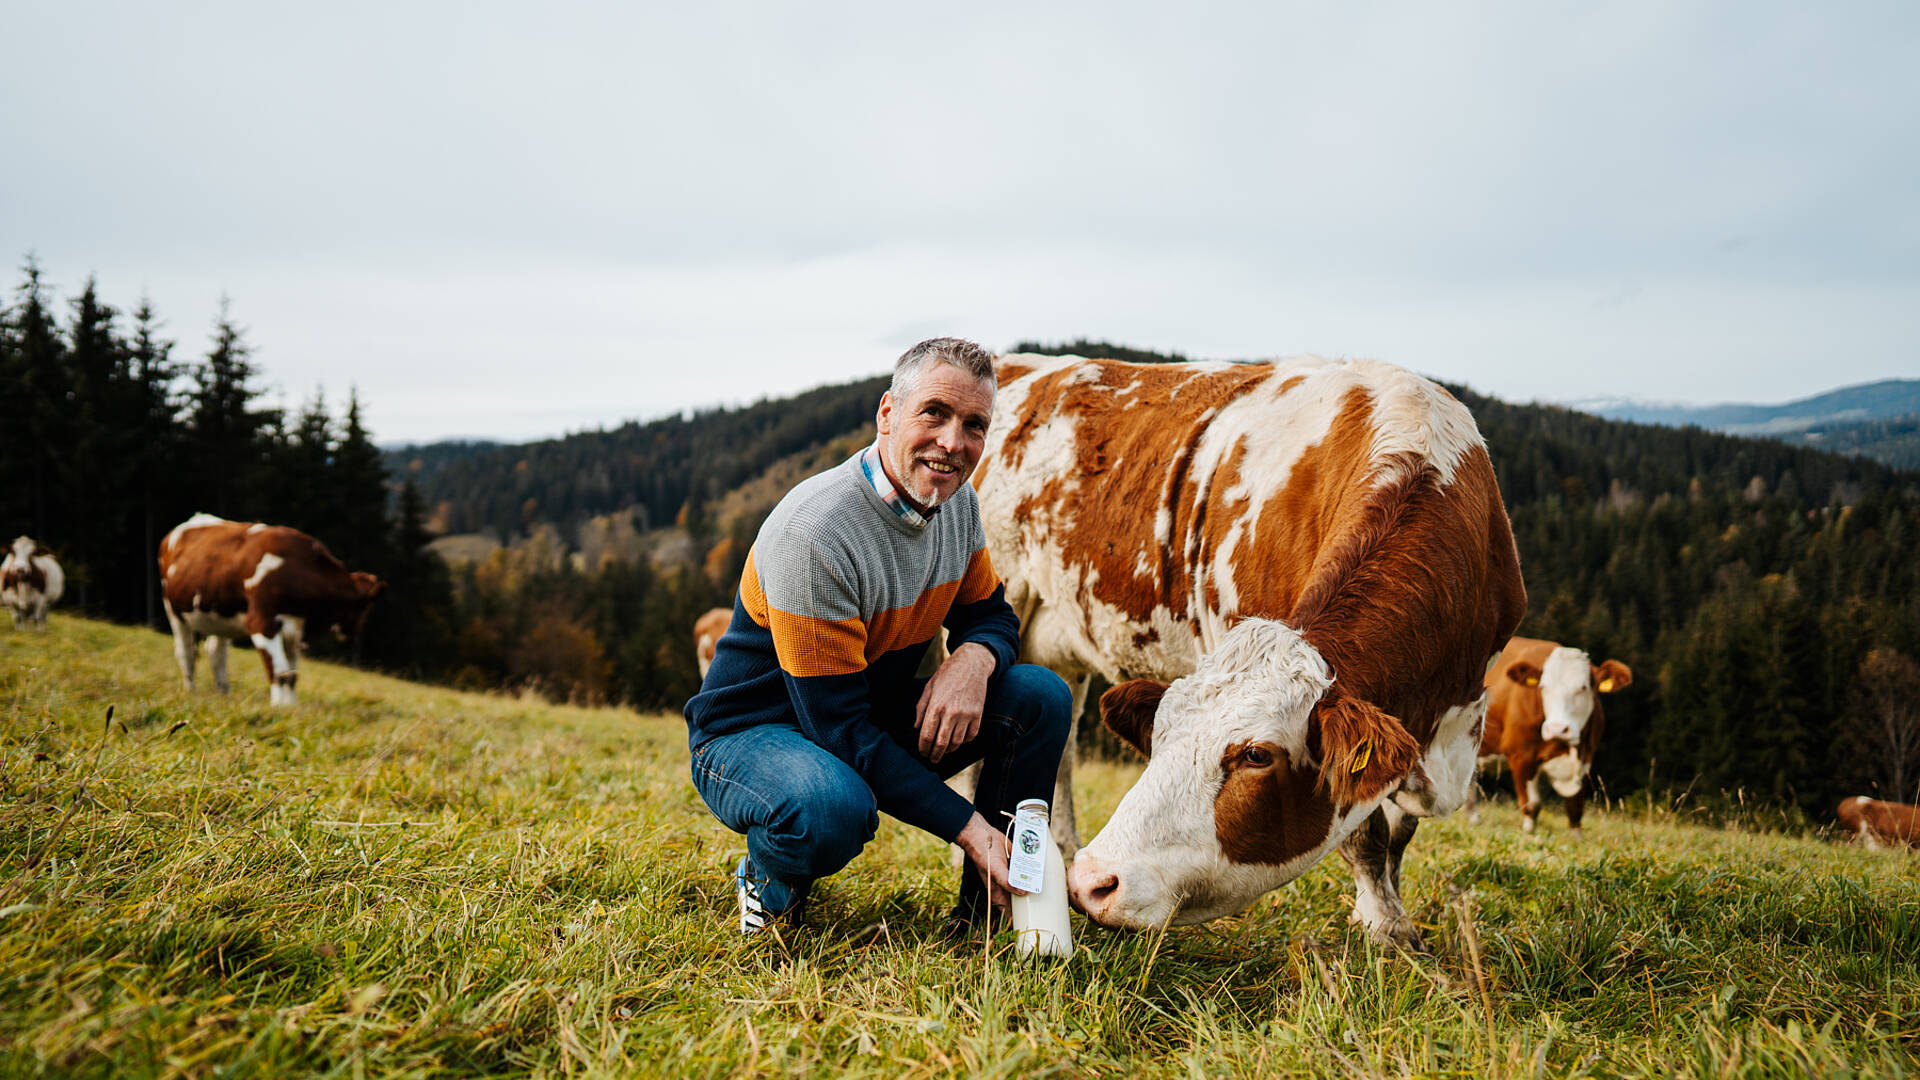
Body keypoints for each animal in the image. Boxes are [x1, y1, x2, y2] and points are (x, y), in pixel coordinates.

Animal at [157, 511, 385, 707]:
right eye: (364, 608)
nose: (354, 635)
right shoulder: (262, 622)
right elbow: (279, 671)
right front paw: (279, 707)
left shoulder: (294, 629)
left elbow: (292, 675)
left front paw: (291, 706)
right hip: (173, 610)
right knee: (186, 652)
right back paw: (191, 690)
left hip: (220, 614)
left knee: (216, 653)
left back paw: (223, 693)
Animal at [975, 355, 1528, 941]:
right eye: (1159, 733)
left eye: (1257, 755)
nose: (1093, 882)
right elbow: (1365, 832)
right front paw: (1385, 927)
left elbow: (1396, 834)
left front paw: (1381, 912)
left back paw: (1060, 848)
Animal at [1474, 634, 1628, 837]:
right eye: (1543, 687)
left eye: (1584, 687)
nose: (1557, 729)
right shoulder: (1521, 755)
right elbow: (1531, 805)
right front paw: (1529, 835)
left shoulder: (1585, 758)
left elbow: (1575, 808)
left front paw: (1576, 838)